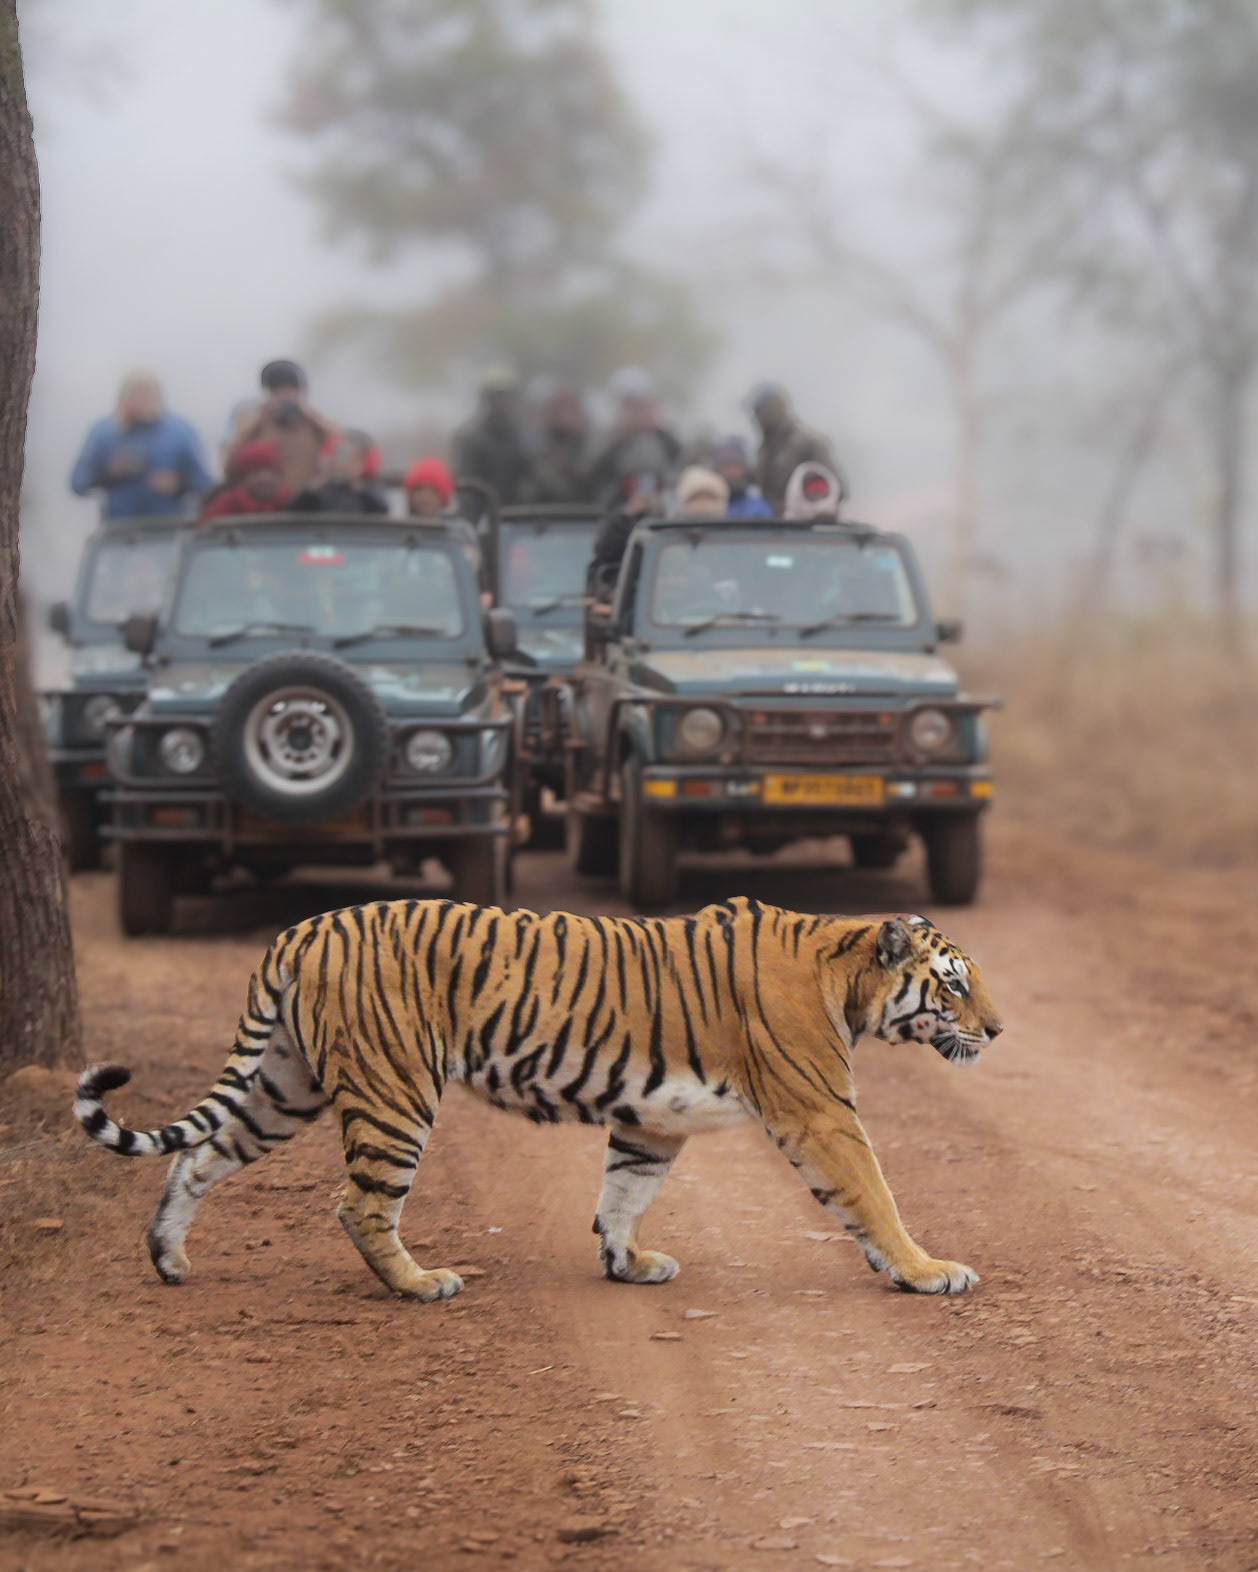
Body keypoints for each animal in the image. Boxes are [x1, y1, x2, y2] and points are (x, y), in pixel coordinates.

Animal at [74, 897, 1003, 1302]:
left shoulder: (652, 1121)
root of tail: (302, 930)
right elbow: (873, 1195)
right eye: (954, 986)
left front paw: (628, 1263)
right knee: (357, 1203)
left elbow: (623, 1195)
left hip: (283, 1085)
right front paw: (927, 1269)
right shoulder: (822, 1112)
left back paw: (168, 1259)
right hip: (393, 1091)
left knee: (197, 1158)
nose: (997, 1031)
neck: (844, 974)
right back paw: (420, 1283)